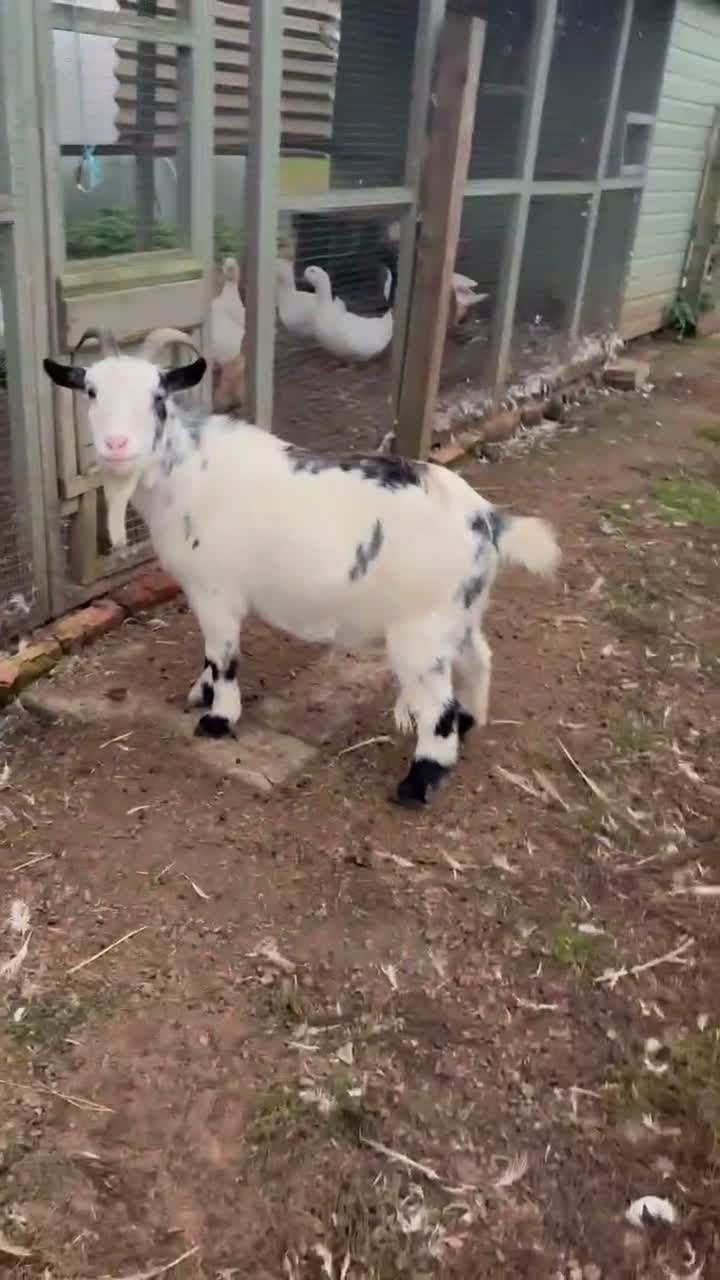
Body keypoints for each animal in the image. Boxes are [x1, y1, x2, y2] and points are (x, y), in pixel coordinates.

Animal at [43, 330, 560, 807]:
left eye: (157, 397)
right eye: (91, 391)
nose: (115, 444)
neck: (187, 472)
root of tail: (485, 518)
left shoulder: (215, 590)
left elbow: (223, 656)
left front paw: (218, 717)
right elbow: (210, 654)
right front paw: (201, 693)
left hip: (421, 630)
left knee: (438, 708)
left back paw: (418, 784)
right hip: (460, 612)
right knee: (478, 659)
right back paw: (472, 721)